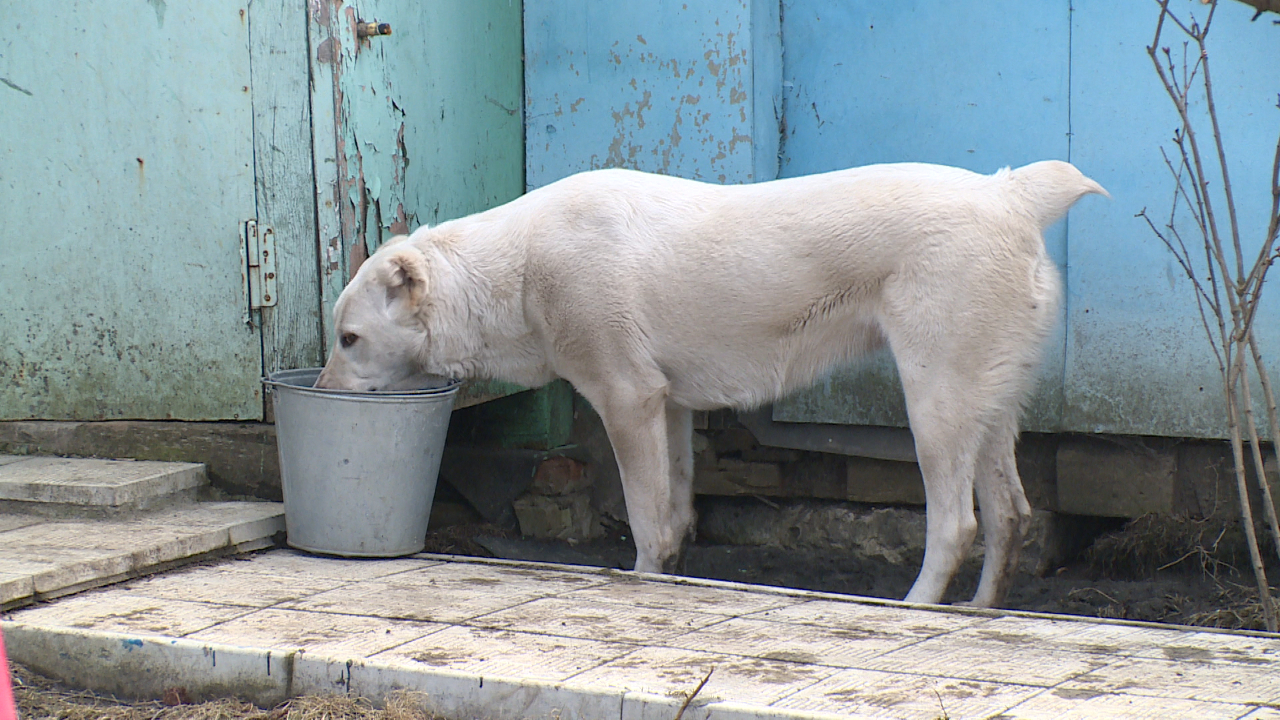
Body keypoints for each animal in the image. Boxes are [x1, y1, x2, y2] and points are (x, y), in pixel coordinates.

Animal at [314, 161, 1105, 604]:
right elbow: (675, 510)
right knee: (1010, 514)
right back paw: (980, 612)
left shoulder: (627, 399)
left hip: (935, 401)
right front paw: (676, 570)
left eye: (348, 339)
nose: (319, 391)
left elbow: (643, 515)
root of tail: (1012, 196)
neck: (519, 268)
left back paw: (915, 608)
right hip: (985, 401)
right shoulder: (668, 406)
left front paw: (643, 580)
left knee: (956, 525)